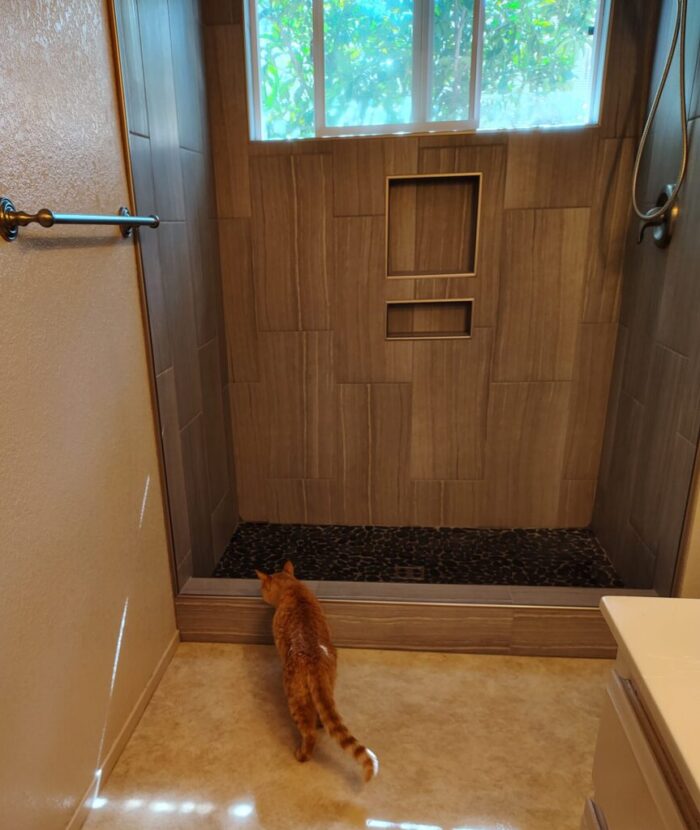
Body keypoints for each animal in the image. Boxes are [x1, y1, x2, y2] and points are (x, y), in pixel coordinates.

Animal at [256, 564, 378, 784]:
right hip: (329, 684)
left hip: (295, 698)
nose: (261, 594)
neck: (293, 589)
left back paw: (302, 754)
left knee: (309, 733)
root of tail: (314, 660)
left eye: (262, 588)